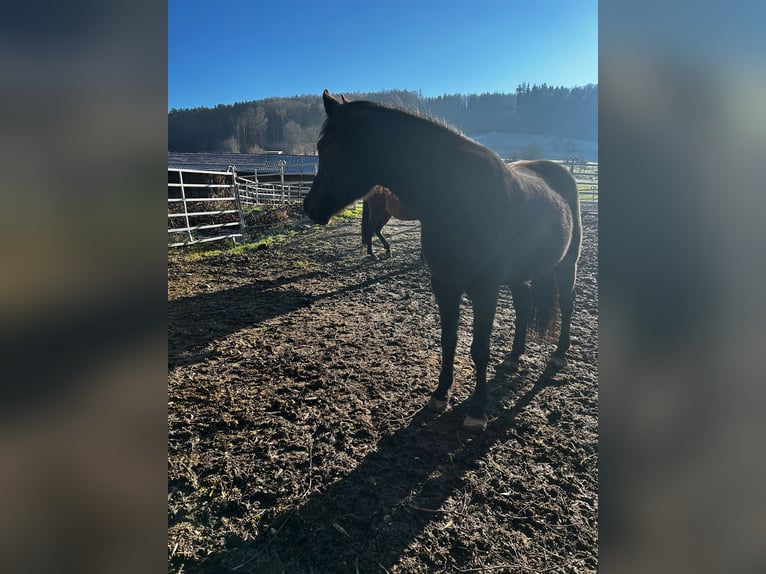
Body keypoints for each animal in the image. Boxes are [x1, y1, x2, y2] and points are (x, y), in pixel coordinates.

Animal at [306, 90, 584, 432]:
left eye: (324, 147)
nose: (308, 206)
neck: (459, 199)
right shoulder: (444, 285)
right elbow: (448, 340)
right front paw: (440, 395)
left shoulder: (484, 292)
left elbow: (479, 350)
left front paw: (477, 410)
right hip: (520, 275)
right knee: (523, 307)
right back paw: (514, 357)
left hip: (567, 264)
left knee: (567, 302)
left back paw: (559, 354)